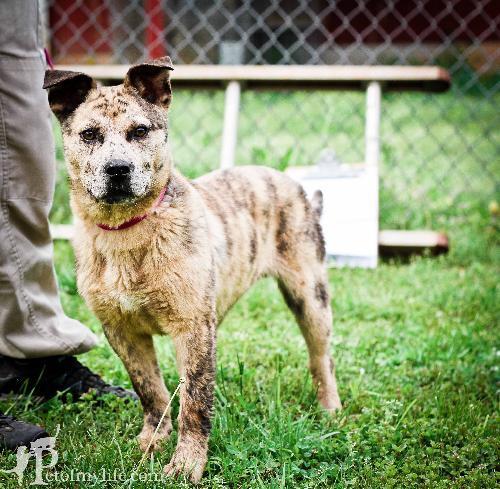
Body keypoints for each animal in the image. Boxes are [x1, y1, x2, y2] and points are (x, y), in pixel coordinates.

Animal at [44, 56, 340, 480]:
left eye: (139, 131)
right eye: (89, 134)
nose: (117, 169)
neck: (127, 232)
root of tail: (294, 184)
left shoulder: (193, 327)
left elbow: (195, 399)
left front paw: (186, 465)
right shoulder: (122, 330)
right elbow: (150, 389)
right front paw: (152, 440)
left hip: (310, 295)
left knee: (322, 358)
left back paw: (330, 410)